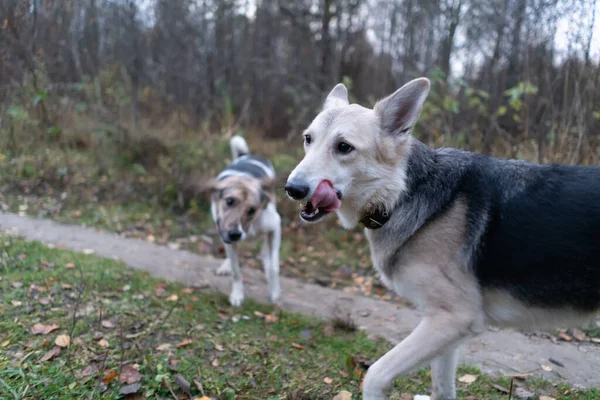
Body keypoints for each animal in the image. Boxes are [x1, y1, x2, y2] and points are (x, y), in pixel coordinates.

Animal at [206, 136, 282, 308]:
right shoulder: (225, 234)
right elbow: (236, 270)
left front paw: (274, 292)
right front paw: (237, 295)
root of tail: (246, 156)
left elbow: (274, 266)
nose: (235, 234)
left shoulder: (275, 226)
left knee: (266, 251)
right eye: (229, 201)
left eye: (252, 210)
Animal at [284, 79, 600, 400]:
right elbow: (442, 388)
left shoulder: (453, 319)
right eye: (308, 139)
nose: (292, 189)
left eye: (344, 147)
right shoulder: (446, 328)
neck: (401, 194)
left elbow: (374, 375)